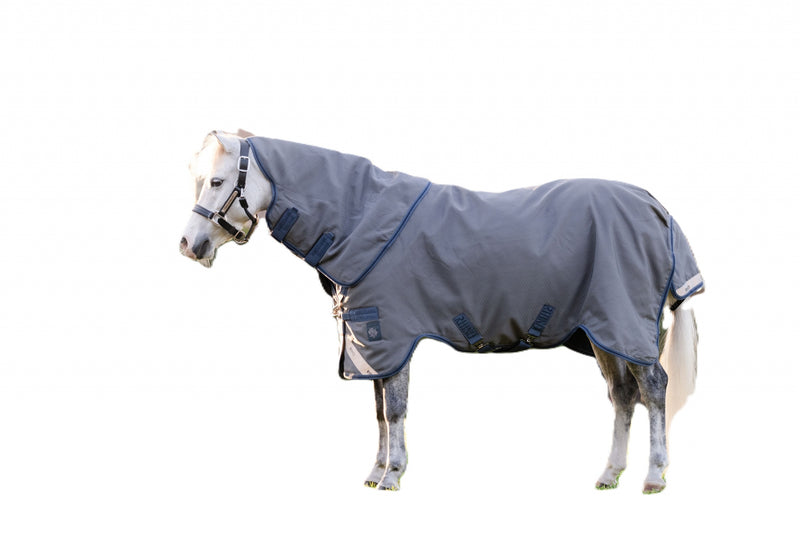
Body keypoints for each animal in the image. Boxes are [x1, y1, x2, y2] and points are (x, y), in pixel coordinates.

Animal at [179, 130, 703, 494]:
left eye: (218, 181)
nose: (189, 245)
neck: (360, 222)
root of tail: (656, 207)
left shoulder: (390, 336)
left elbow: (395, 409)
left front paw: (393, 476)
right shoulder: (373, 344)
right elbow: (379, 412)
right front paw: (375, 471)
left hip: (625, 323)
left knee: (654, 388)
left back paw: (654, 476)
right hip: (603, 332)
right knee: (623, 395)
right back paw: (610, 473)